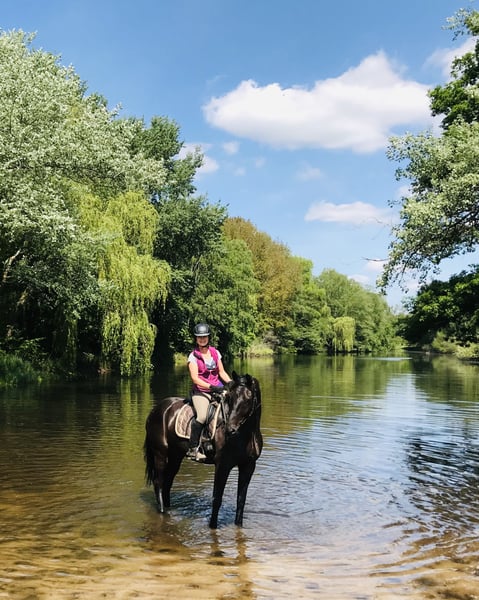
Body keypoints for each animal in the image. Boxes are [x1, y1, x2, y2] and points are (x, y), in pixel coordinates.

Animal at [143, 371, 263, 529]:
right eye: (230, 398)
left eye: (248, 398)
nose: (229, 429)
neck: (246, 434)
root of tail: (156, 410)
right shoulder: (222, 465)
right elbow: (216, 499)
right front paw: (212, 527)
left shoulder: (248, 466)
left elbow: (241, 500)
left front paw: (238, 526)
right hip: (160, 453)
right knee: (159, 482)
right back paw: (162, 512)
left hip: (176, 456)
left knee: (168, 481)